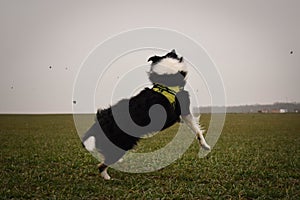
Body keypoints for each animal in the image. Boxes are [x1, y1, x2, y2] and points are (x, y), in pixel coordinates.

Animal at [81, 48, 210, 180]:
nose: (173, 49)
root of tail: (98, 123)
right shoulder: (183, 111)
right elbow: (197, 130)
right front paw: (205, 146)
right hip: (122, 144)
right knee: (101, 165)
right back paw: (108, 178)